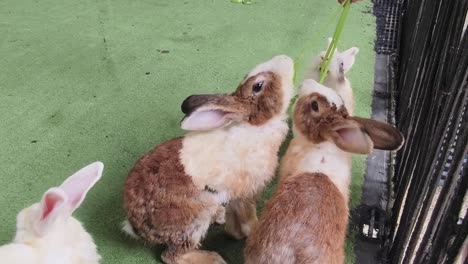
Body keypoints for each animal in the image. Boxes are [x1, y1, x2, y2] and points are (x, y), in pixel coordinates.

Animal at [122, 54, 294, 262]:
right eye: (258, 86)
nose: (285, 58)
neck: (255, 126)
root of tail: (136, 228)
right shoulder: (246, 193)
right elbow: (247, 219)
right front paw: (251, 231)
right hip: (194, 219)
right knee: (171, 256)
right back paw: (213, 258)